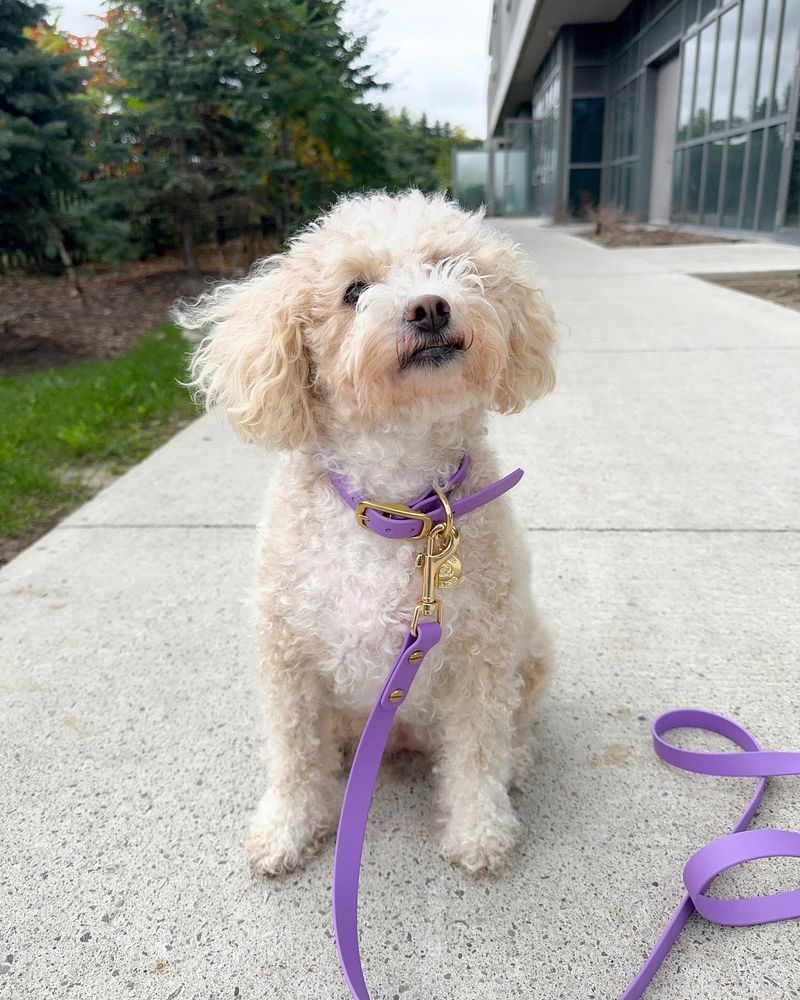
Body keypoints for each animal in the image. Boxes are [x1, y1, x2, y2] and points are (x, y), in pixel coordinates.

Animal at [181, 189, 556, 876]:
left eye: (452, 266)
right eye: (353, 290)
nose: (430, 306)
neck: (397, 504)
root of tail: (400, 737)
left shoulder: (482, 656)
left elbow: (478, 751)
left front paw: (480, 832)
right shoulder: (288, 662)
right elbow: (294, 756)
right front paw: (286, 829)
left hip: (533, 646)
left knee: (511, 730)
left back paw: (516, 764)